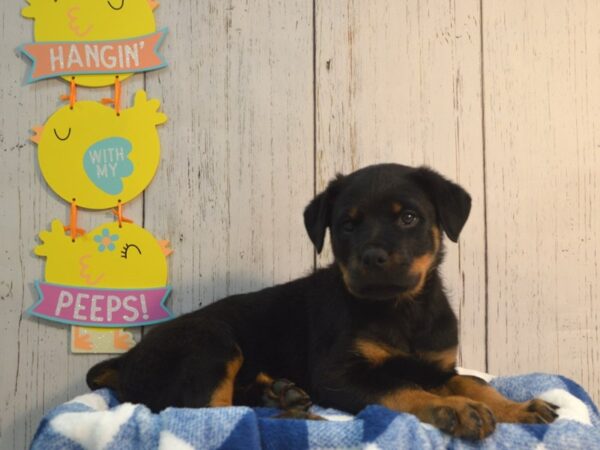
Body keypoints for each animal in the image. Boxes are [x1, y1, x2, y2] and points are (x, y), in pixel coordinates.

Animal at [88, 163, 556, 438]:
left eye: (409, 217)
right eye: (346, 225)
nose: (373, 257)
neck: (402, 308)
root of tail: (124, 361)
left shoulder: (438, 366)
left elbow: (475, 382)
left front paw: (519, 407)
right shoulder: (339, 375)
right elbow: (399, 388)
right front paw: (453, 409)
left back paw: (280, 395)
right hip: (212, 340)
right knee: (209, 412)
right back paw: (294, 414)